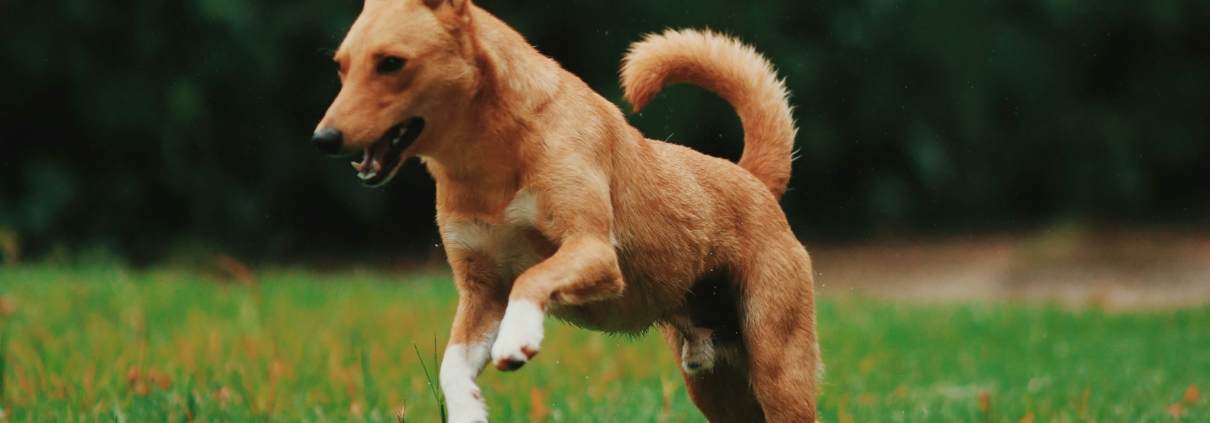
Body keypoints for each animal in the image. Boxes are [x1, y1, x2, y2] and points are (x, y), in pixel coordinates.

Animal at [312, 1, 822, 420]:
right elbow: (451, 364)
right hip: (714, 384)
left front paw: (518, 338)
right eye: (340, 68)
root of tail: (753, 179)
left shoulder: (593, 250)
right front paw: (468, 409)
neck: (490, 163)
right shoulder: (480, 291)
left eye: (391, 63)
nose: (323, 139)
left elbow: (532, 277)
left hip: (777, 368)